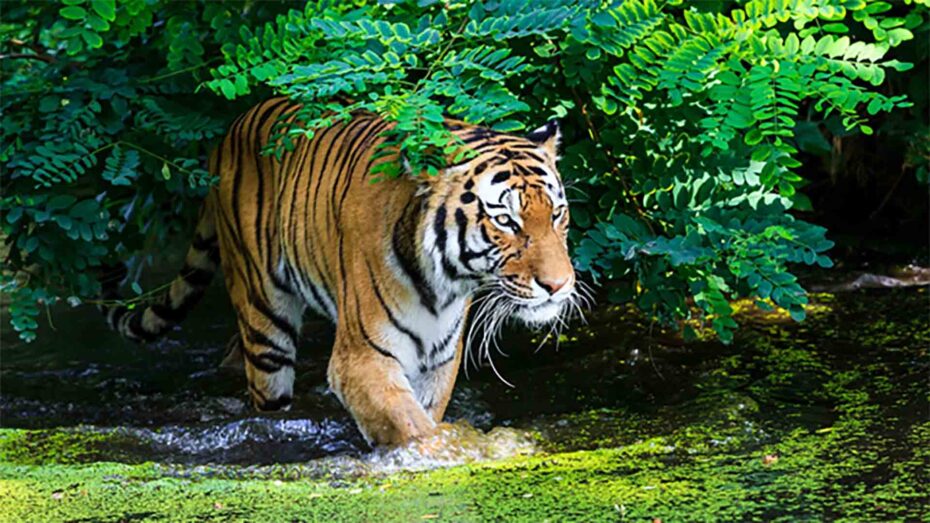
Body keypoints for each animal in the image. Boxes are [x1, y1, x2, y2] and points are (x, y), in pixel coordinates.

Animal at [102, 97, 578, 446]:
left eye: (557, 214)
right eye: (505, 221)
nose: (558, 285)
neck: (443, 284)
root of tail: (231, 129)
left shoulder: (439, 361)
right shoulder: (362, 358)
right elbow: (411, 428)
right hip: (265, 321)